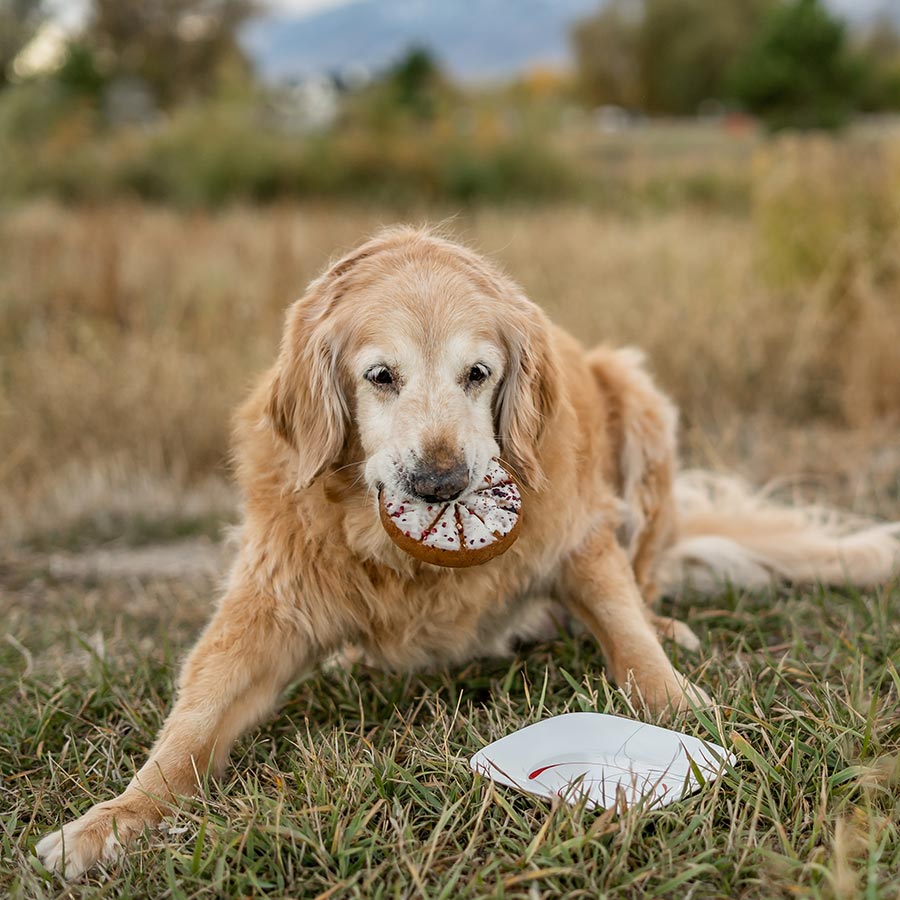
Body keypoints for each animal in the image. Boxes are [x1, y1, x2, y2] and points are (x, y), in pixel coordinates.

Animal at [35, 225, 900, 880]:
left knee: (646, 574)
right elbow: (191, 727)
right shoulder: (273, 600)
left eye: (478, 373)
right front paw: (112, 818)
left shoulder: (578, 532)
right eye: (380, 376)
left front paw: (678, 705)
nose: (442, 482)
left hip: (639, 398)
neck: (414, 563)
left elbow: (625, 629)